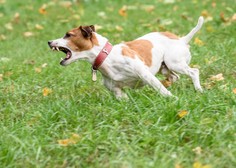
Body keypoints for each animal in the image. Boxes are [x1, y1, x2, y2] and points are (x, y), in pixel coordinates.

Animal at [48, 16, 205, 98]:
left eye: (68, 35)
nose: (49, 42)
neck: (107, 58)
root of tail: (182, 39)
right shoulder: (117, 91)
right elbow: (124, 99)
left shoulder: (145, 74)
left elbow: (161, 89)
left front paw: (173, 99)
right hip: (164, 68)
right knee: (174, 77)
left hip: (174, 63)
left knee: (194, 72)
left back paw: (199, 90)